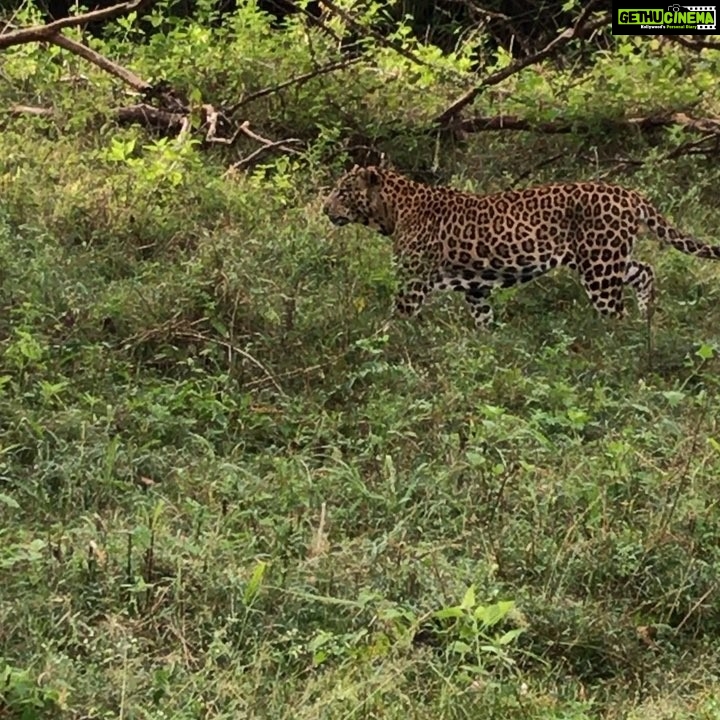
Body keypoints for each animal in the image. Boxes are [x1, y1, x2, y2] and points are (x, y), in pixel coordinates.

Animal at [322, 165, 720, 328]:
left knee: (615, 313)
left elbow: (394, 322)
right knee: (645, 271)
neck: (391, 211)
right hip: (607, 259)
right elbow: (483, 320)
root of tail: (629, 193)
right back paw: (646, 317)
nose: (325, 208)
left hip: (599, 269)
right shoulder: (477, 289)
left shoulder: (412, 284)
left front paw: (380, 345)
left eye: (343, 191)